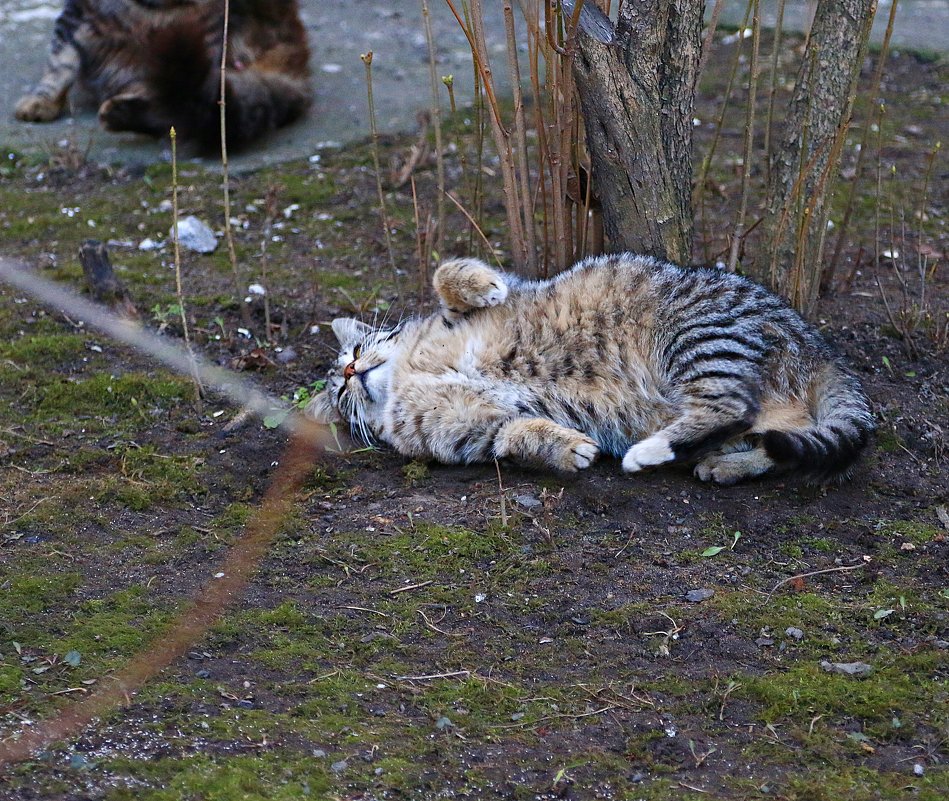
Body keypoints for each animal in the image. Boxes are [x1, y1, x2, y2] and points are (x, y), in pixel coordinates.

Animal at [310, 253, 872, 484]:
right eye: (338, 393)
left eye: (354, 351)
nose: (349, 373)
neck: (406, 372)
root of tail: (822, 350)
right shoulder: (466, 433)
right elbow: (511, 435)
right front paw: (562, 448)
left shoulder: (476, 305)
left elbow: (447, 273)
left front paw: (481, 284)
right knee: (768, 435)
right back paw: (709, 460)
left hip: (698, 332)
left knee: (730, 404)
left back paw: (655, 451)